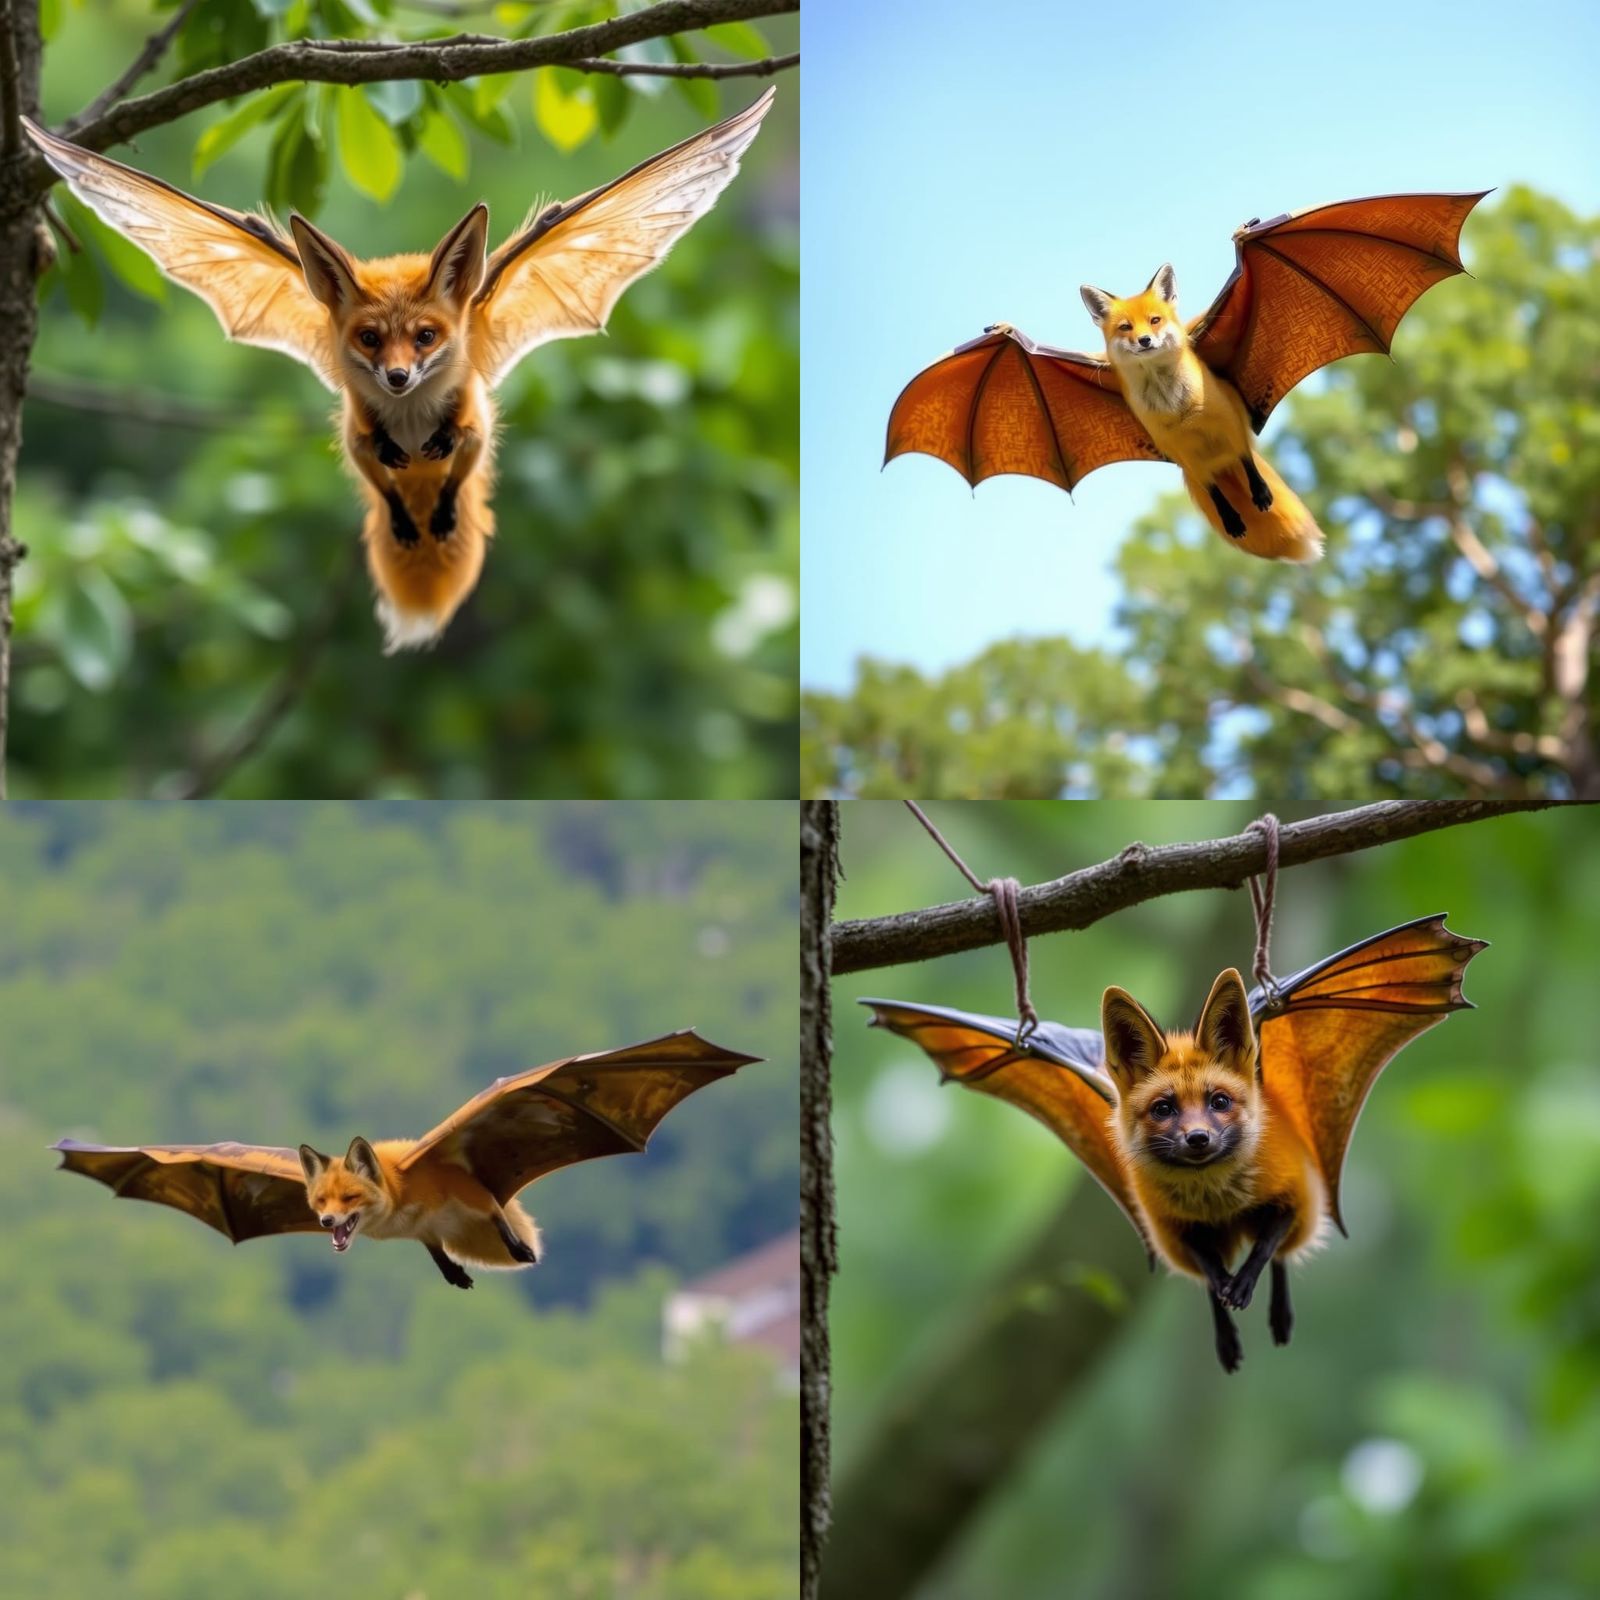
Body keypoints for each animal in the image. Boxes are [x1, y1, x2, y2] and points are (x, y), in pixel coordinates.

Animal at [298, 1135, 542, 1290]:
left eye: (349, 1198)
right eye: (321, 1200)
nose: (327, 1220)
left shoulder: (470, 1193)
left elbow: (496, 1215)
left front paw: (519, 1249)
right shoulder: (423, 1229)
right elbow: (436, 1251)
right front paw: (454, 1272)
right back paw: (455, 1275)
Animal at [1079, 266, 1324, 562]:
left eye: (1155, 320)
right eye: (1126, 327)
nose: (1144, 340)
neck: (1178, 407)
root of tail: (1221, 463)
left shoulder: (1228, 422)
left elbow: (1247, 460)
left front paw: (1261, 493)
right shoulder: (1183, 453)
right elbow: (1214, 491)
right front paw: (1231, 519)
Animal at [1102, 966, 1326, 1373]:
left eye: (1219, 1102)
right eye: (1163, 1108)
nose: (1198, 1138)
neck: (1217, 1200)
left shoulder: (1290, 1199)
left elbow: (1266, 1248)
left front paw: (1244, 1285)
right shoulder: (1178, 1228)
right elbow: (1209, 1270)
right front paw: (1225, 1288)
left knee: (1281, 1256)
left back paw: (1279, 1318)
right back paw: (1227, 1339)